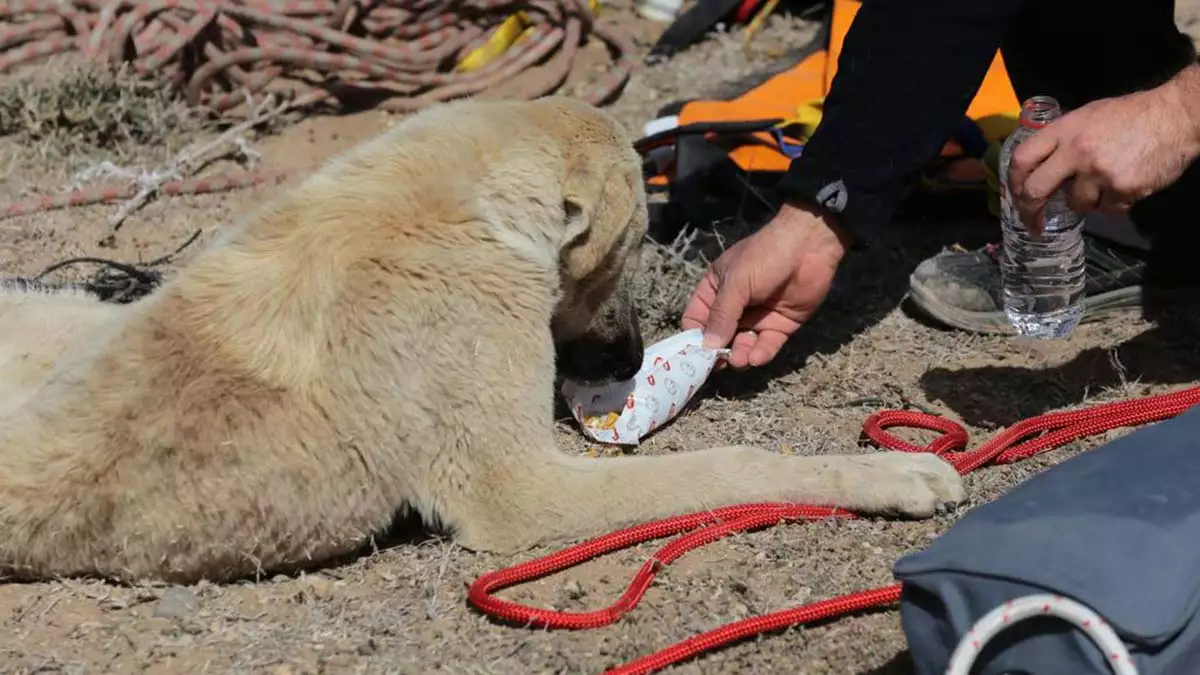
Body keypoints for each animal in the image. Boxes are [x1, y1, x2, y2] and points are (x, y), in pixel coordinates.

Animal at [0, 97, 964, 581]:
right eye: (632, 247)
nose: (629, 361)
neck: (453, 203)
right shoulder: (517, 492)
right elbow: (734, 465)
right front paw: (886, 474)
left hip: (65, 314)